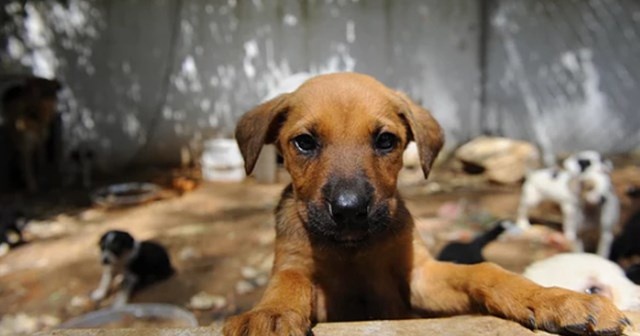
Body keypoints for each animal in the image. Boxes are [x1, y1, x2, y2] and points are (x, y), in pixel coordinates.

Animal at [222, 73, 628, 336]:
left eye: (386, 141)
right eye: (304, 142)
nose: (350, 211)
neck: (353, 250)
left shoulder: (419, 276)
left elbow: (485, 271)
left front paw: (556, 299)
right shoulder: (297, 267)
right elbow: (288, 281)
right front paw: (271, 314)